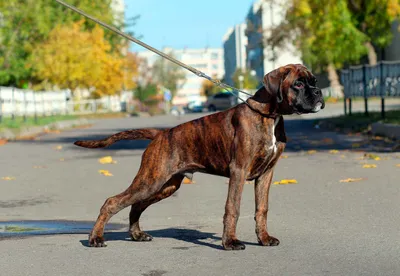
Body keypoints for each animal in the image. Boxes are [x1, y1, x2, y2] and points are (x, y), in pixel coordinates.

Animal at [75, 63, 324, 249]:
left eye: (314, 82)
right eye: (298, 84)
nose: (319, 92)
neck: (268, 116)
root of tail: (161, 133)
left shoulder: (266, 174)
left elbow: (261, 209)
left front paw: (263, 239)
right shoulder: (239, 171)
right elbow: (232, 207)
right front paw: (230, 242)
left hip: (165, 186)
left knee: (136, 206)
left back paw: (137, 235)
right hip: (150, 181)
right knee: (112, 202)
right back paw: (95, 238)